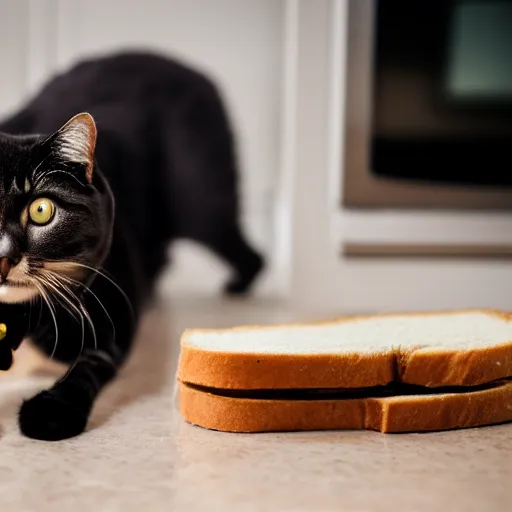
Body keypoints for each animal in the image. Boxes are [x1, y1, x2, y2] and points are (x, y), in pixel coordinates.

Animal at [0, 51, 264, 440]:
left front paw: (51, 412)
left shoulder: (111, 315)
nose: (4, 258)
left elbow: (90, 363)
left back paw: (236, 287)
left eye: (41, 210)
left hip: (200, 203)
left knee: (247, 253)